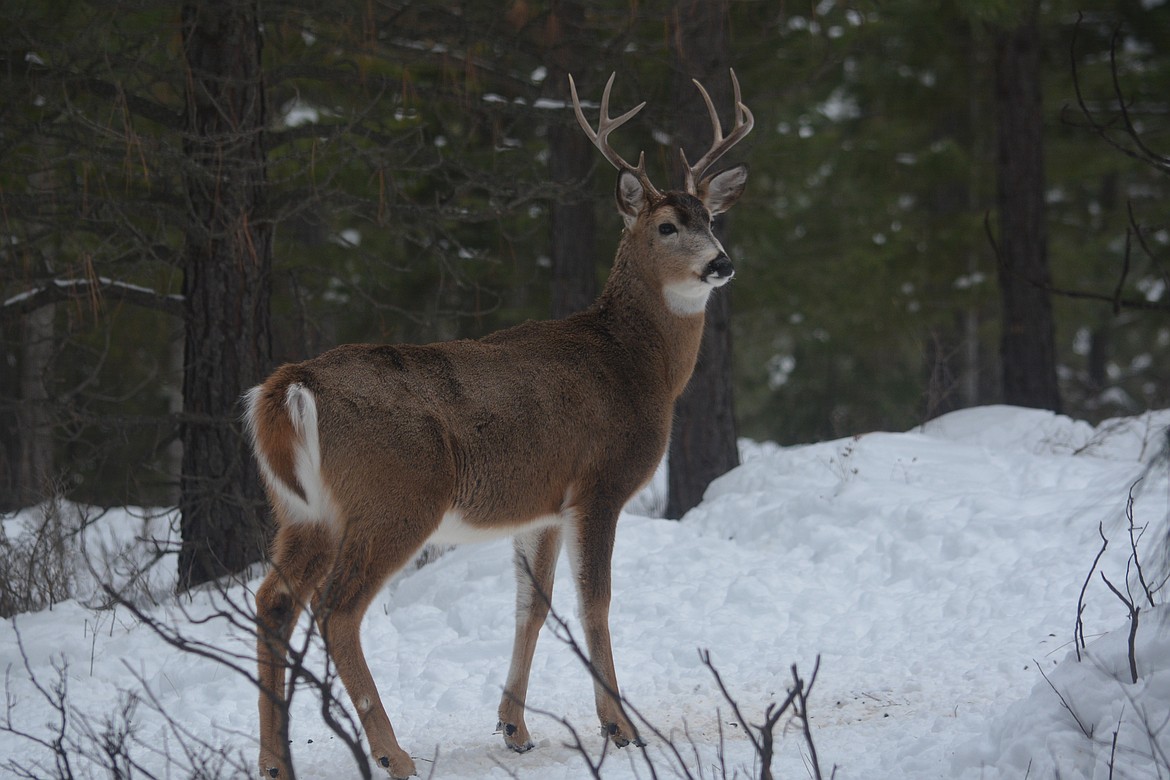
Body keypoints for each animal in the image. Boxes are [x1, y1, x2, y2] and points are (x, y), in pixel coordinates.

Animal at [250, 70, 753, 776]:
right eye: (664, 226)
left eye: (711, 218)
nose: (720, 262)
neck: (637, 367)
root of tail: (291, 385)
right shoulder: (598, 484)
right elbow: (594, 602)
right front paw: (620, 726)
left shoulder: (543, 506)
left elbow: (532, 607)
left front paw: (514, 726)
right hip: (395, 497)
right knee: (337, 609)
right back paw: (392, 752)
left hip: (302, 512)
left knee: (273, 601)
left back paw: (276, 760)